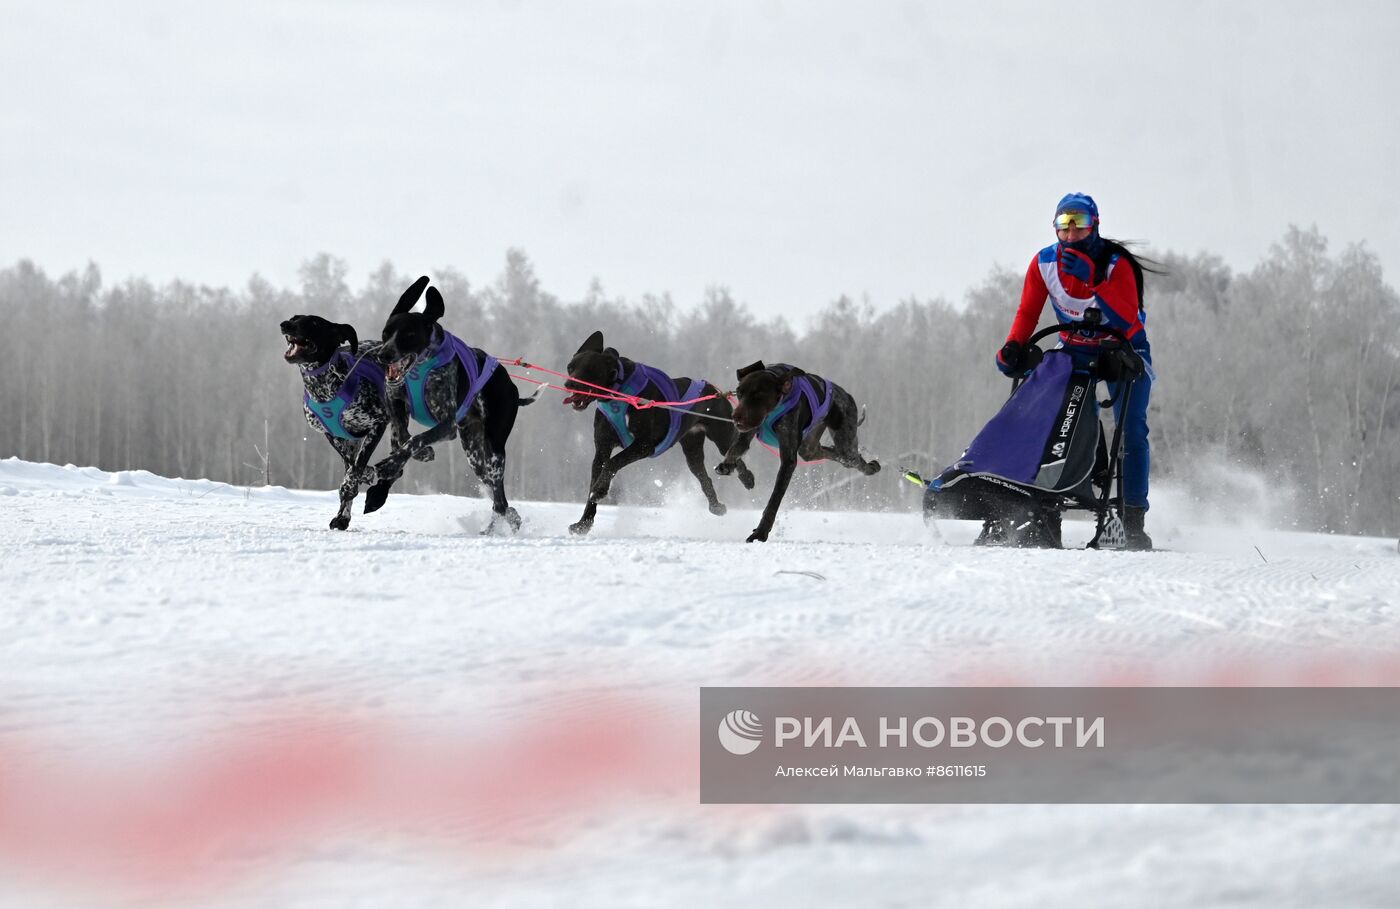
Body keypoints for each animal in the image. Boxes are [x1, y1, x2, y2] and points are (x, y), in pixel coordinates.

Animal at [275, 313, 403, 532]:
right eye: (294, 318)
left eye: (314, 323)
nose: (286, 325)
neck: (323, 386)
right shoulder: (334, 435)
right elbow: (352, 465)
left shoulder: (377, 424)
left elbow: (357, 466)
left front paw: (355, 482)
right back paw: (343, 516)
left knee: (399, 464)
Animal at [366, 275, 534, 532]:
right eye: (386, 333)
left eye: (408, 335)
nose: (383, 355)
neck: (420, 367)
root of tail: (512, 387)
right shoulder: (396, 405)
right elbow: (404, 436)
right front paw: (417, 455)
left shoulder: (447, 426)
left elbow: (415, 439)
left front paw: (392, 463)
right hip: (475, 455)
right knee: (502, 502)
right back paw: (509, 520)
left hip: (494, 451)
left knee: (499, 499)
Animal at [716, 361, 879, 543]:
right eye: (739, 393)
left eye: (758, 394)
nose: (735, 416)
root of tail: (847, 395)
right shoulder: (745, 436)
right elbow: (734, 449)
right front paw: (727, 464)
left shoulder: (788, 459)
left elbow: (774, 499)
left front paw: (761, 532)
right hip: (809, 448)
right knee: (828, 452)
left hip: (845, 443)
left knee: (852, 457)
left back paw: (872, 466)